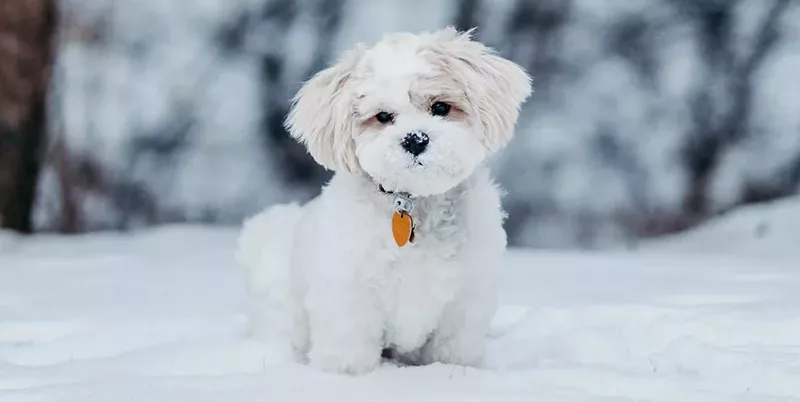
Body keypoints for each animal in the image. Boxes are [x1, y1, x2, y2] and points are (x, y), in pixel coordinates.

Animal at [236, 27, 532, 374]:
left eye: (441, 107)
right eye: (383, 116)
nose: (415, 139)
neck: (414, 202)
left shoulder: (464, 301)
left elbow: (453, 351)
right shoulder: (349, 295)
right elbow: (349, 350)